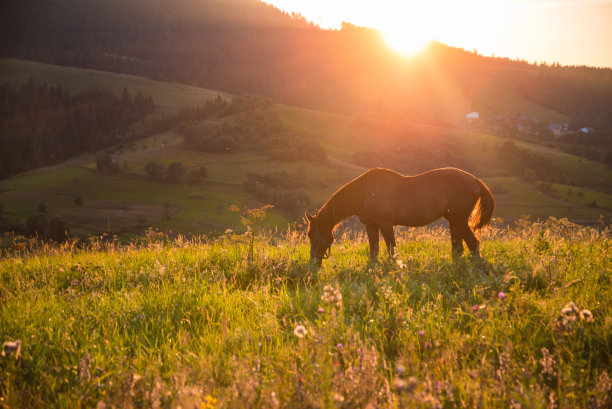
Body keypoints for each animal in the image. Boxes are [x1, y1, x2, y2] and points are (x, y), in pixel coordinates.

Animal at [304, 167, 494, 264]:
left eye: (311, 234)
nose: (313, 261)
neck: (364, 192)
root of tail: (475, 180)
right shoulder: (371, 225)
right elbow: (374, 250)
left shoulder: (385, 224)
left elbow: (391, 248)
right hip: (458, 221)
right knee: (472, 244)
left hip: (456, 220)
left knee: (459, 247)